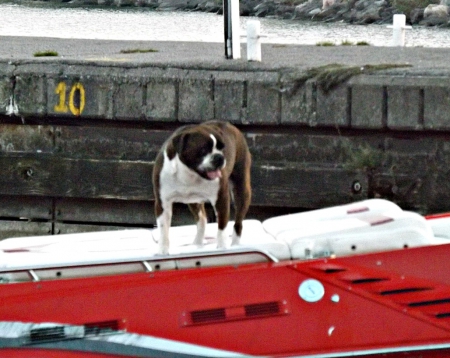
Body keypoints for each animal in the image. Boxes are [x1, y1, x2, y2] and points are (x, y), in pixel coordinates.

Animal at [152, 120, 251, 255]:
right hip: (194, 201)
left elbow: (222, 226)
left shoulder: (221, 198)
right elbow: (163, 230)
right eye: (203, 149)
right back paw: (197, 243)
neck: (189, 174)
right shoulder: (163, 203)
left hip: (241, 190)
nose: (220, 157)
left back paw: (235, 244)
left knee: (238, 223)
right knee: (202, 220)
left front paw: (222, 248)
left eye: (222, 148)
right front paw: (162, 251)